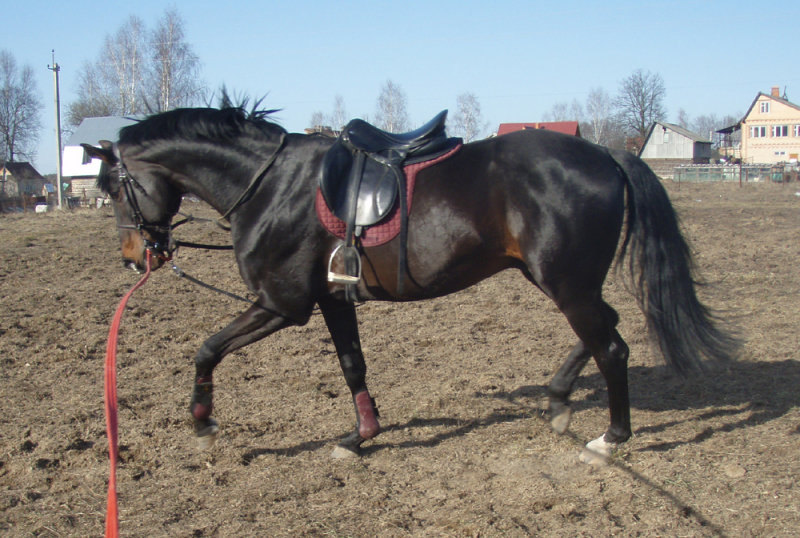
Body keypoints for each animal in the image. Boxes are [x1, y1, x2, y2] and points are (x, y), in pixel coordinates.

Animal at [84, 104, 740, 460]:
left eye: (114, 187)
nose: (133, 257)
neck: (269, 184)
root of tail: (605, 155)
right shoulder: (331, 299)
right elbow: (352, 365)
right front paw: (362, 435)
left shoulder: (282, 303)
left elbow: (207, 350)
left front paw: (201, 422)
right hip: (558, 279)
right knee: (604, 332)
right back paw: (556, 399)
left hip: (566, 283)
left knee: (612, 346)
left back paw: (611, 439)